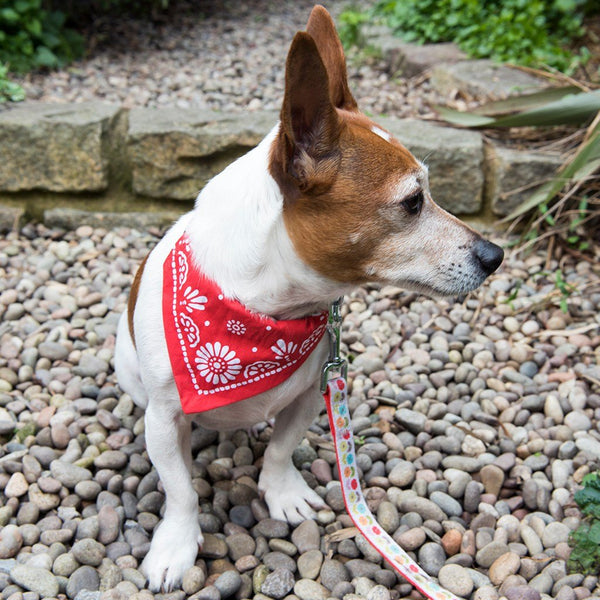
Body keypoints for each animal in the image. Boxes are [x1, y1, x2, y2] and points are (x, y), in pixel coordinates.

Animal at [115, 5, 504, 592]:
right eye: (413, 203)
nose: (495, 254)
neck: (264, 314)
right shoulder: (164, 420)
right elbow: (180, 488)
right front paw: (175, 546)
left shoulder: (310, 395)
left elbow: (280, 450)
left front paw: (283, 493)